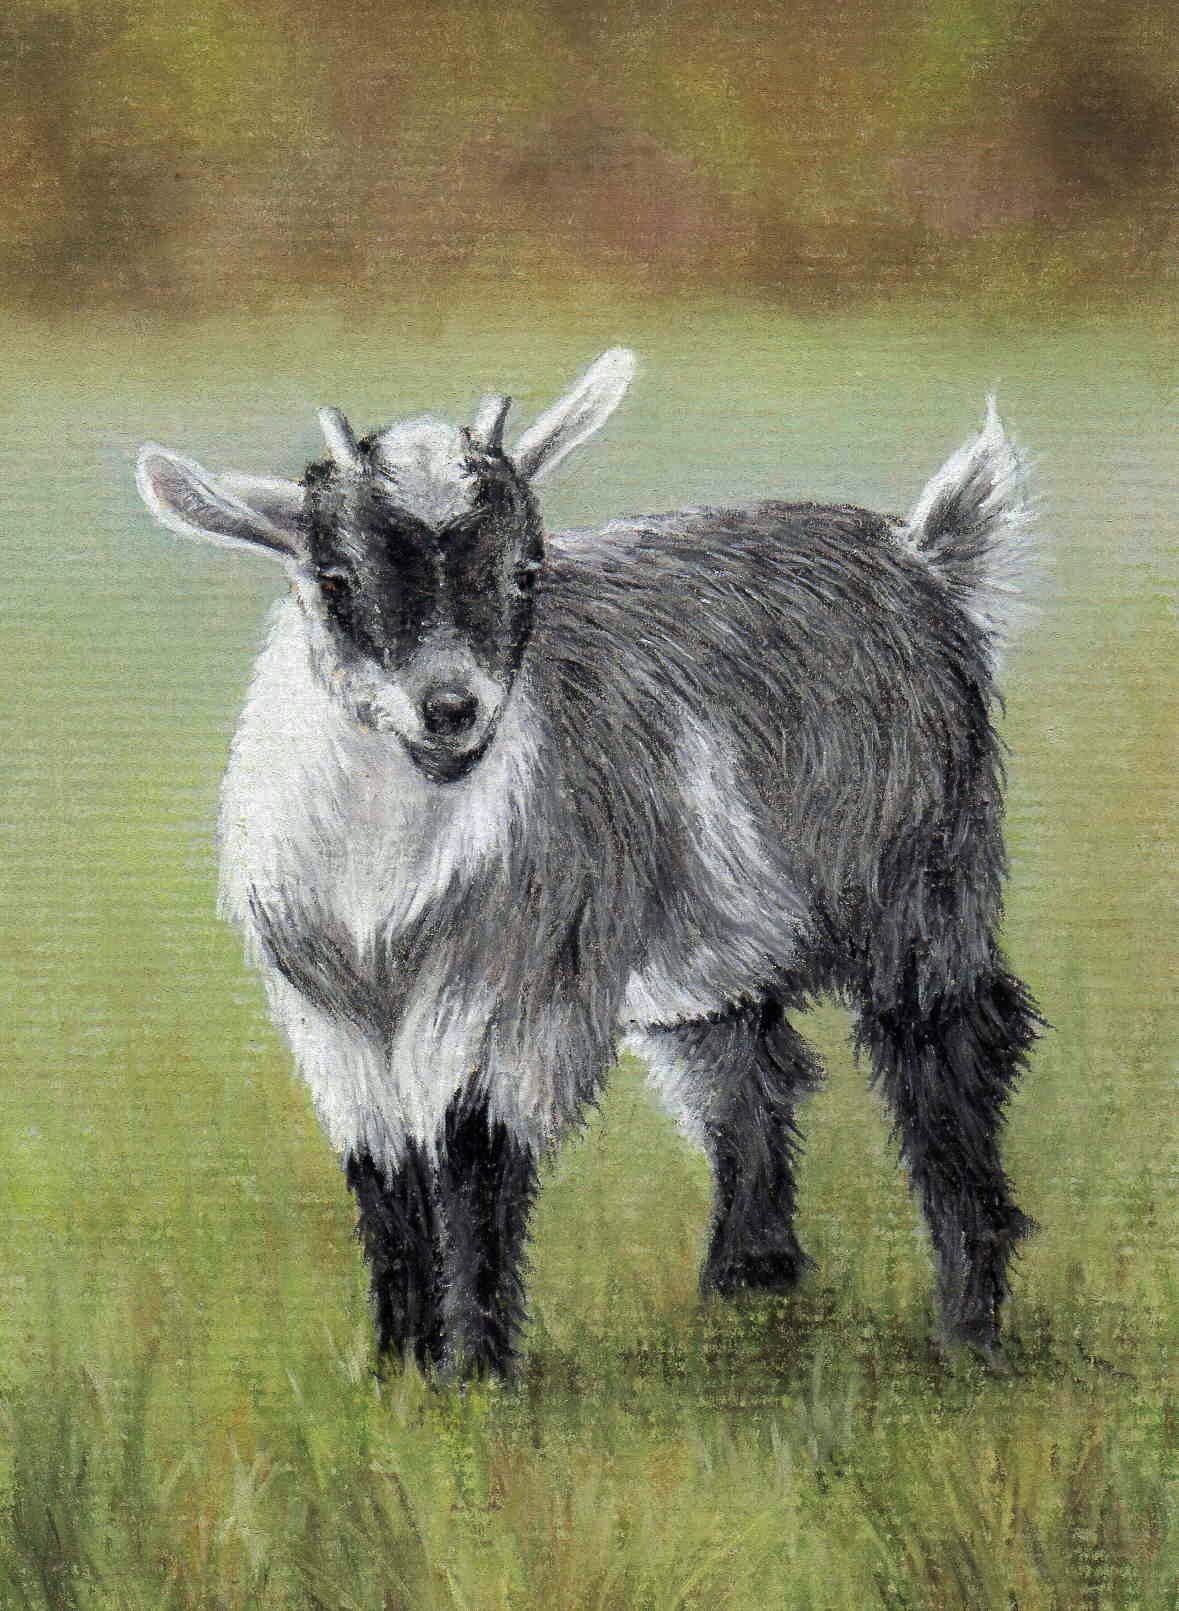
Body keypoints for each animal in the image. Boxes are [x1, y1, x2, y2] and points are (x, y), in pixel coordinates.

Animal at [136, 350, 1041, 1377]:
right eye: (335, 577)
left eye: (527, 568)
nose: (452, 709)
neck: (384, 891)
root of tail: (923, 554)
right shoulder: (329, 1015)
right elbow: (382, 1166)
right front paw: (395, 1365)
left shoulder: (518, 982)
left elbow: (475, 1145)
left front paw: (473, 1371)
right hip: (714, 941)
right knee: (742, 1066)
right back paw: (749, 1285)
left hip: (921, 873)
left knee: (947, 1045)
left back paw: (969, 1319)